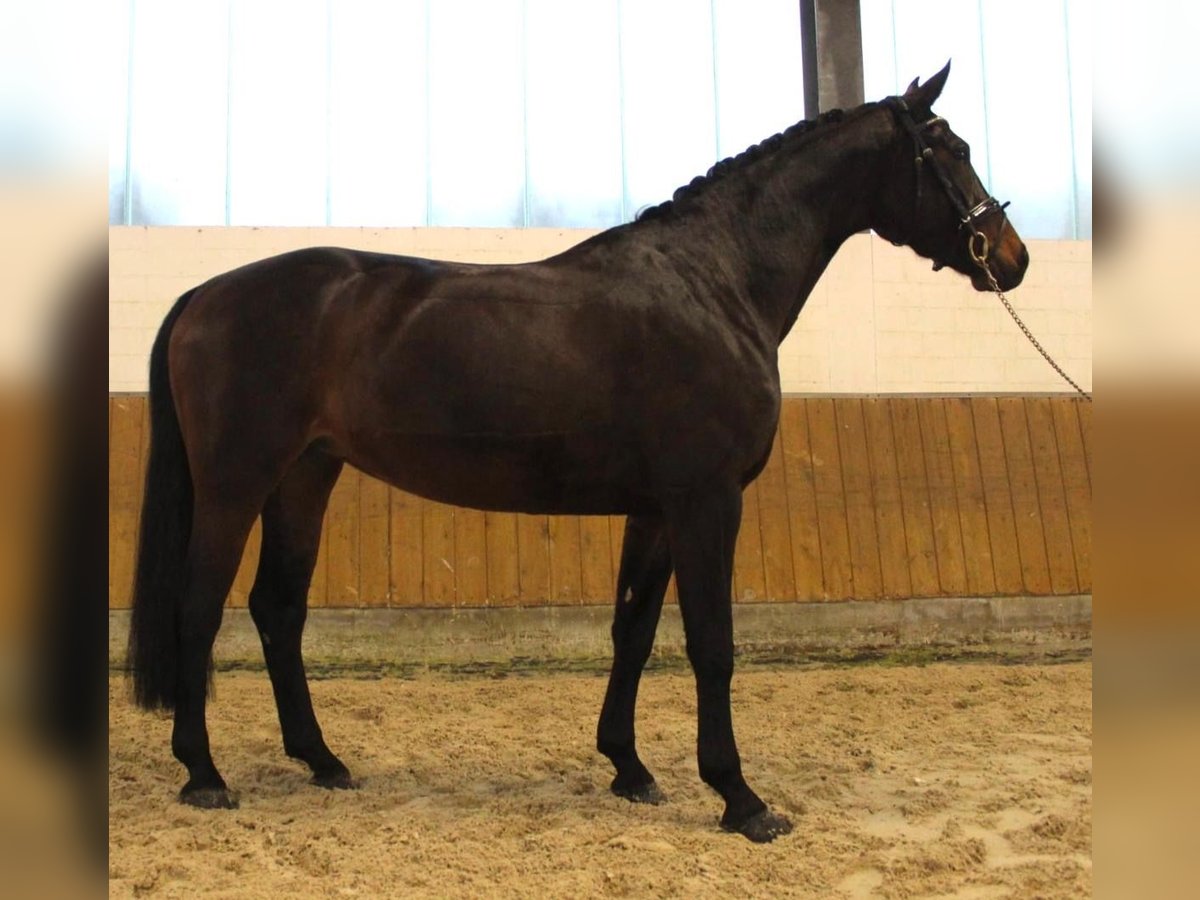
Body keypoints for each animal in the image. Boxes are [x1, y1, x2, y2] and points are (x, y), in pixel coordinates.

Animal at [127, 62, 1027, 843]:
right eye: (951, 150)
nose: (1011, 257)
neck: (715, 282)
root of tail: (206, 294)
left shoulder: (657, 510)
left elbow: (633, 629)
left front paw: (630, 769)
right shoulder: (708, 502)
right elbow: (712, 645)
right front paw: (741, 798)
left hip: (305, 477)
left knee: (277, 609)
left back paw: (323, 761)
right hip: (235, 484)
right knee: (197, 609)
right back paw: (205, 775)